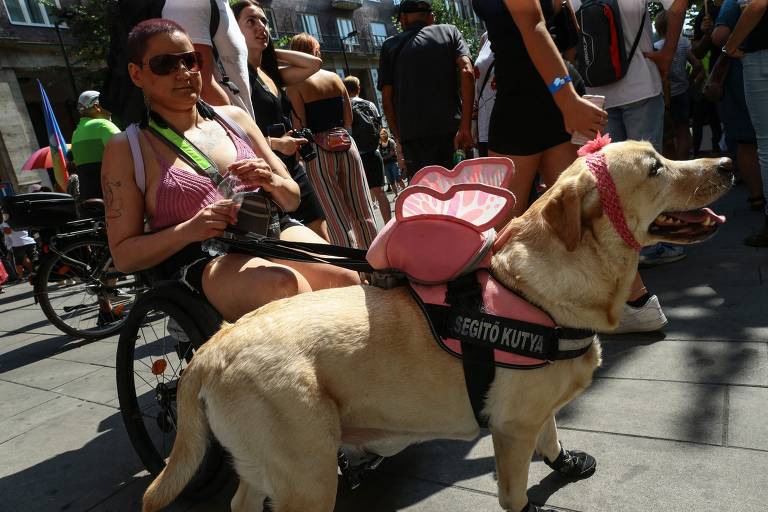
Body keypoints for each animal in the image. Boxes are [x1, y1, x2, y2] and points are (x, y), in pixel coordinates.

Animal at [142, 141, 732, 512]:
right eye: (656, 167)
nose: (727, 162)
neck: (542, 292)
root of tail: (212, 348)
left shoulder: (535, 411)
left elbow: (553, 433)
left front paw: (563, 463)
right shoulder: (510, 428)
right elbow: (516, 493)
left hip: (265, 465)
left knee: (243, 497)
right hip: (307, 475)